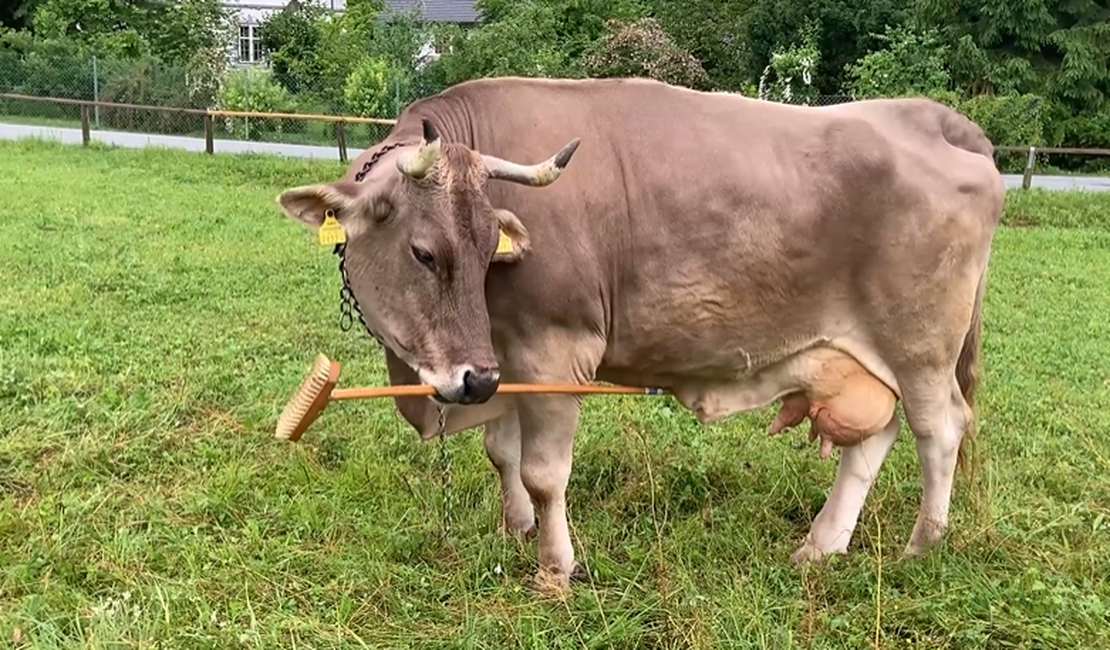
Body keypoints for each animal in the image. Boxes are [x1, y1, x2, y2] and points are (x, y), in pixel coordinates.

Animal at [275, 76, 1005, 595]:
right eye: (426, 253)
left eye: (486, 252)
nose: (470, 380)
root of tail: (933, 118)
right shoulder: (503, 355)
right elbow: (500, 451)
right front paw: (514, 529)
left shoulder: (554, 348)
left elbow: (544, 473)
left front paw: (554, 568)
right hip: (867, 358)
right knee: (875, 437)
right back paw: (821, 546)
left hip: (921, 348)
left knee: (939, 429)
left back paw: (922, 545)